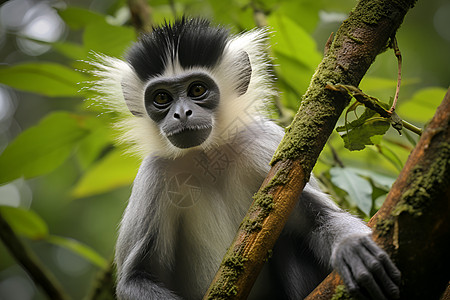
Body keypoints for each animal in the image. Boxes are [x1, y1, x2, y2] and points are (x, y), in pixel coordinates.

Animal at [89, 18, 400, 300]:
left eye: (197, 89)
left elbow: (318, 218)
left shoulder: (265, 142)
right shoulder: (154, 174)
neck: (207, 157)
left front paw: (352, 246)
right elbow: (136, 278)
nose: (181, 114)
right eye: (162, 98)